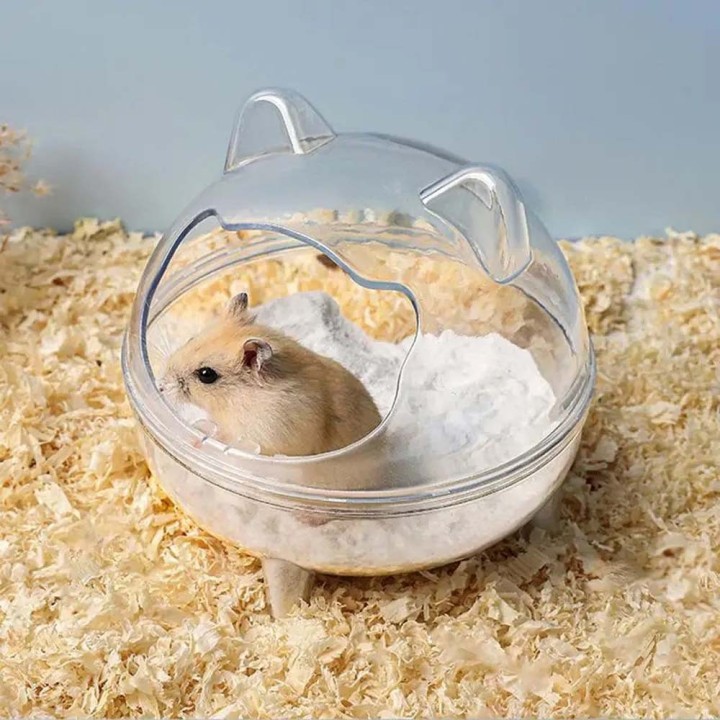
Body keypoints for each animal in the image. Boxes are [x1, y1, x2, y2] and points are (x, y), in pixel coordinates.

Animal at [159, 292, 382, 459]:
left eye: (206, 375)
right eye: (191, 338)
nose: (160, 386)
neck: (235, 397)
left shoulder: (264, 435)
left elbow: (225, 438)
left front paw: (195, 441)